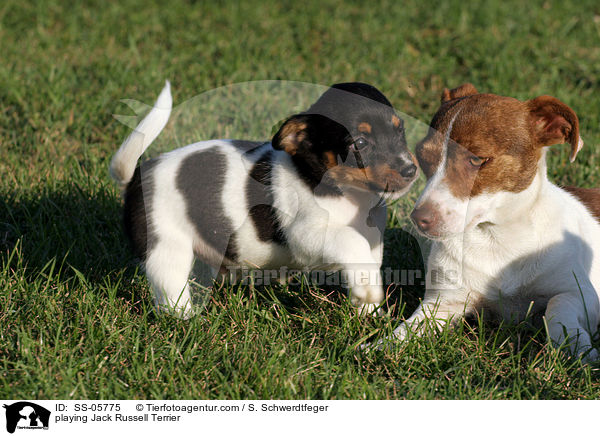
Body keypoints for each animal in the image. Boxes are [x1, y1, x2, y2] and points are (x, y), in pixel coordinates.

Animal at [380, 84, 600, 362]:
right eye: (422, 156)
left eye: (477, 159)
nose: (419, 218)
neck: (497, 238)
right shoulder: (442, 303)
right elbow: (406, 330)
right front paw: (376, 348)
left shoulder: (582, 295)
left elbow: (557, 305)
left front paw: (576, 348)